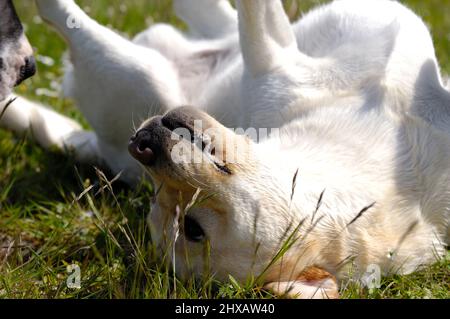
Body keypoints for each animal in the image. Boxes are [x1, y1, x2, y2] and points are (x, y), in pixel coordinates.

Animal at [0, 0, 450, 300]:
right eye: (157, 199)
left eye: (190, 227)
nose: (141, 147)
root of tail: (108, 152)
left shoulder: (273, 63)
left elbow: (256, 24)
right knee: (209, 18)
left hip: (136, 74)